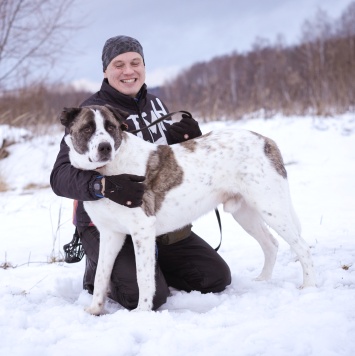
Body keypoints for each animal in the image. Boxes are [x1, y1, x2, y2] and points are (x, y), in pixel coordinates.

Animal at [59, 105, 318, 314]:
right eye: (87, 129)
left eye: (111, 127)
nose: (105, 147)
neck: (108, 176)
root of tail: (265, 139)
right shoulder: (110, 235)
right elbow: (102, 276)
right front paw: (95, 309)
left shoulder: (142, 230)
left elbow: (143, 277)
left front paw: (142, 313)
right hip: (245, 213)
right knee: (271, 244)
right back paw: (263, 280)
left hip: (271, 207)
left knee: (302, 246)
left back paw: (308, 286)